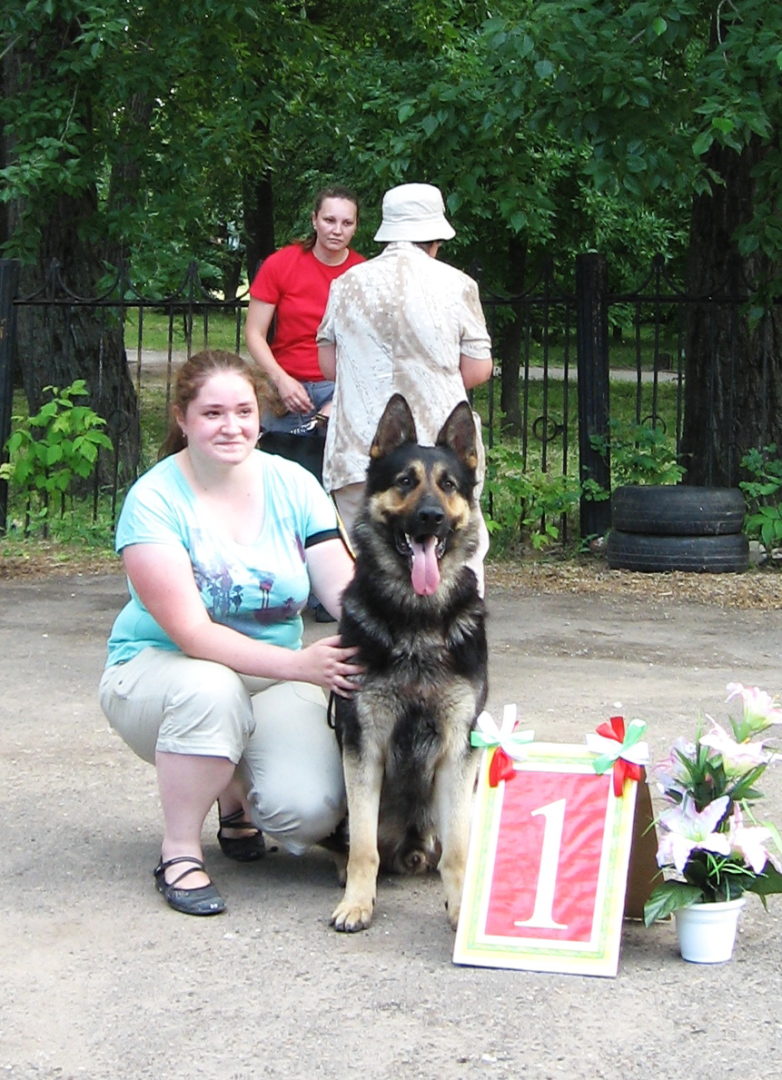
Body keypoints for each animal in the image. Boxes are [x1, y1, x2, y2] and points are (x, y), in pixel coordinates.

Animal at [329, 393, 488, 933]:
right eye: (405, 481)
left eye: (449, 485)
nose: (431, 518)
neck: (417, 621)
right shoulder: (365, 743)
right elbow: (362, 847)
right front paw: (357, 902)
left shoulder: (459, 748)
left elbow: (458, 850)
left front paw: (462, 909)